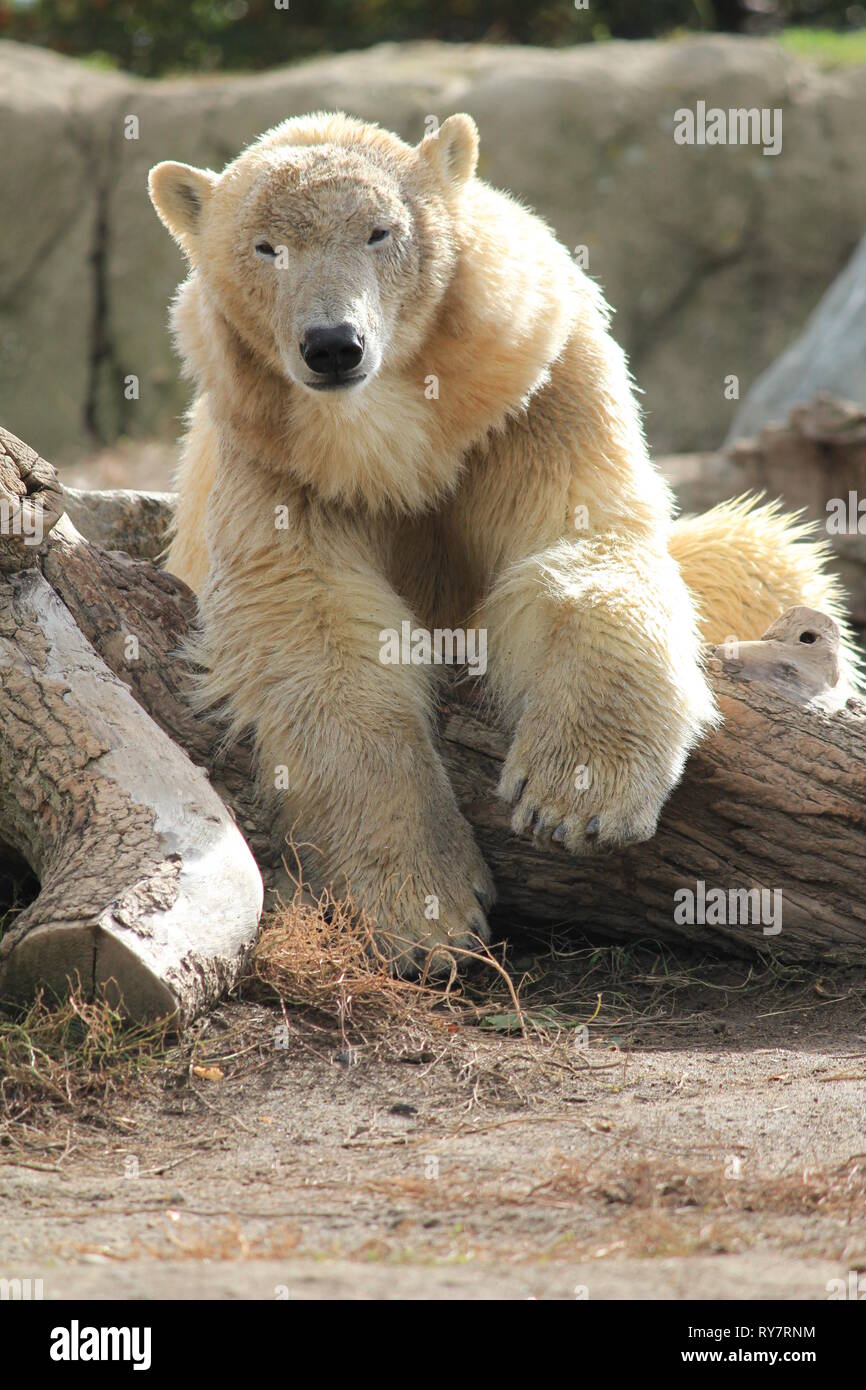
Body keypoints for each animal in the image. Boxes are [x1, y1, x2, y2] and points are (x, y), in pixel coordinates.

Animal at [148, 111, 856, 967]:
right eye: (265, 248)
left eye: (381, 231)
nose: (332, 344)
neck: (388, 443)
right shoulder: (272, 459)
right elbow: (315, 627)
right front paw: (425, 906)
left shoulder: (532, 391)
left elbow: (577, 550)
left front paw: (576, 795)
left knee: (761, 558)